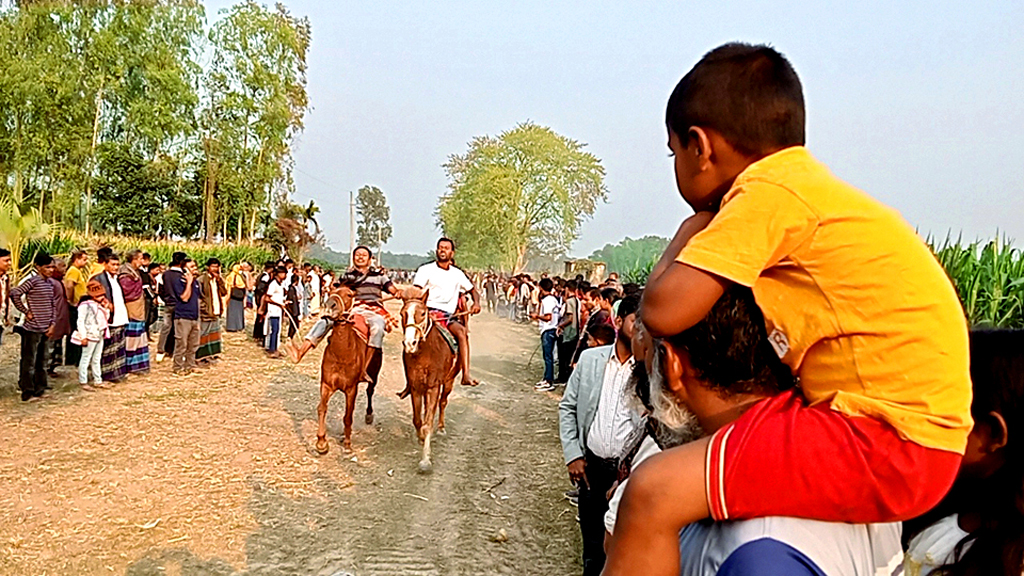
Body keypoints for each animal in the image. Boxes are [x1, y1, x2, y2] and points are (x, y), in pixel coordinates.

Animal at [313, 284, 382, 453]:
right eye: (330, 292)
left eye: (349, 295)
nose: (330, 305)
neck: (342, 354)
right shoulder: (326, 384)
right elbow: (322, 408)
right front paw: (321, 442)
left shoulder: (351, 389)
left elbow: (348, 416)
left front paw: (347, 443)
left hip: (374, 374)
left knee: (370, 391)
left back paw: (369, 415)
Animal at [399, 286, 456, 471]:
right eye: (403, 314)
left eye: (423, 313)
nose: (410, 344)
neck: (426, 352)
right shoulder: (416, 387)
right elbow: (418, 420)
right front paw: (421, 438)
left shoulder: (433, 387)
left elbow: (428, 423)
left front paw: (425, 460)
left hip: (448, 382)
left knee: (443, 402)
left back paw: (442, 427)